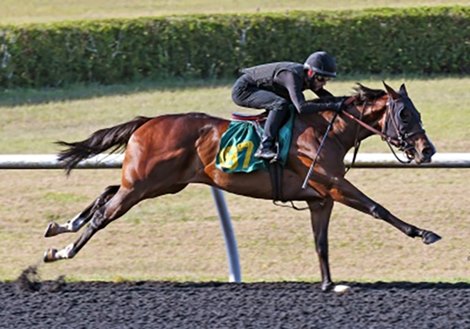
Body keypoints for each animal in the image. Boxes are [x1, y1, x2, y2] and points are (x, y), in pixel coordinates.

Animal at [43, 81, 440, 290]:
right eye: (405, 114)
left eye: (418, 112)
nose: (428, 150)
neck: (327, 130)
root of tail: (147, 121)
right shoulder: (334, 185)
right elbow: (377, 207)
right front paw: (423, 233)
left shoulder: (320, 198)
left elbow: (321, 242)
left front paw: (329, 283)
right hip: (143, 185)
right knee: (104, 215)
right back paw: (62, 251)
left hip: (158, 183)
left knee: (107, 193)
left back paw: (60, 227)